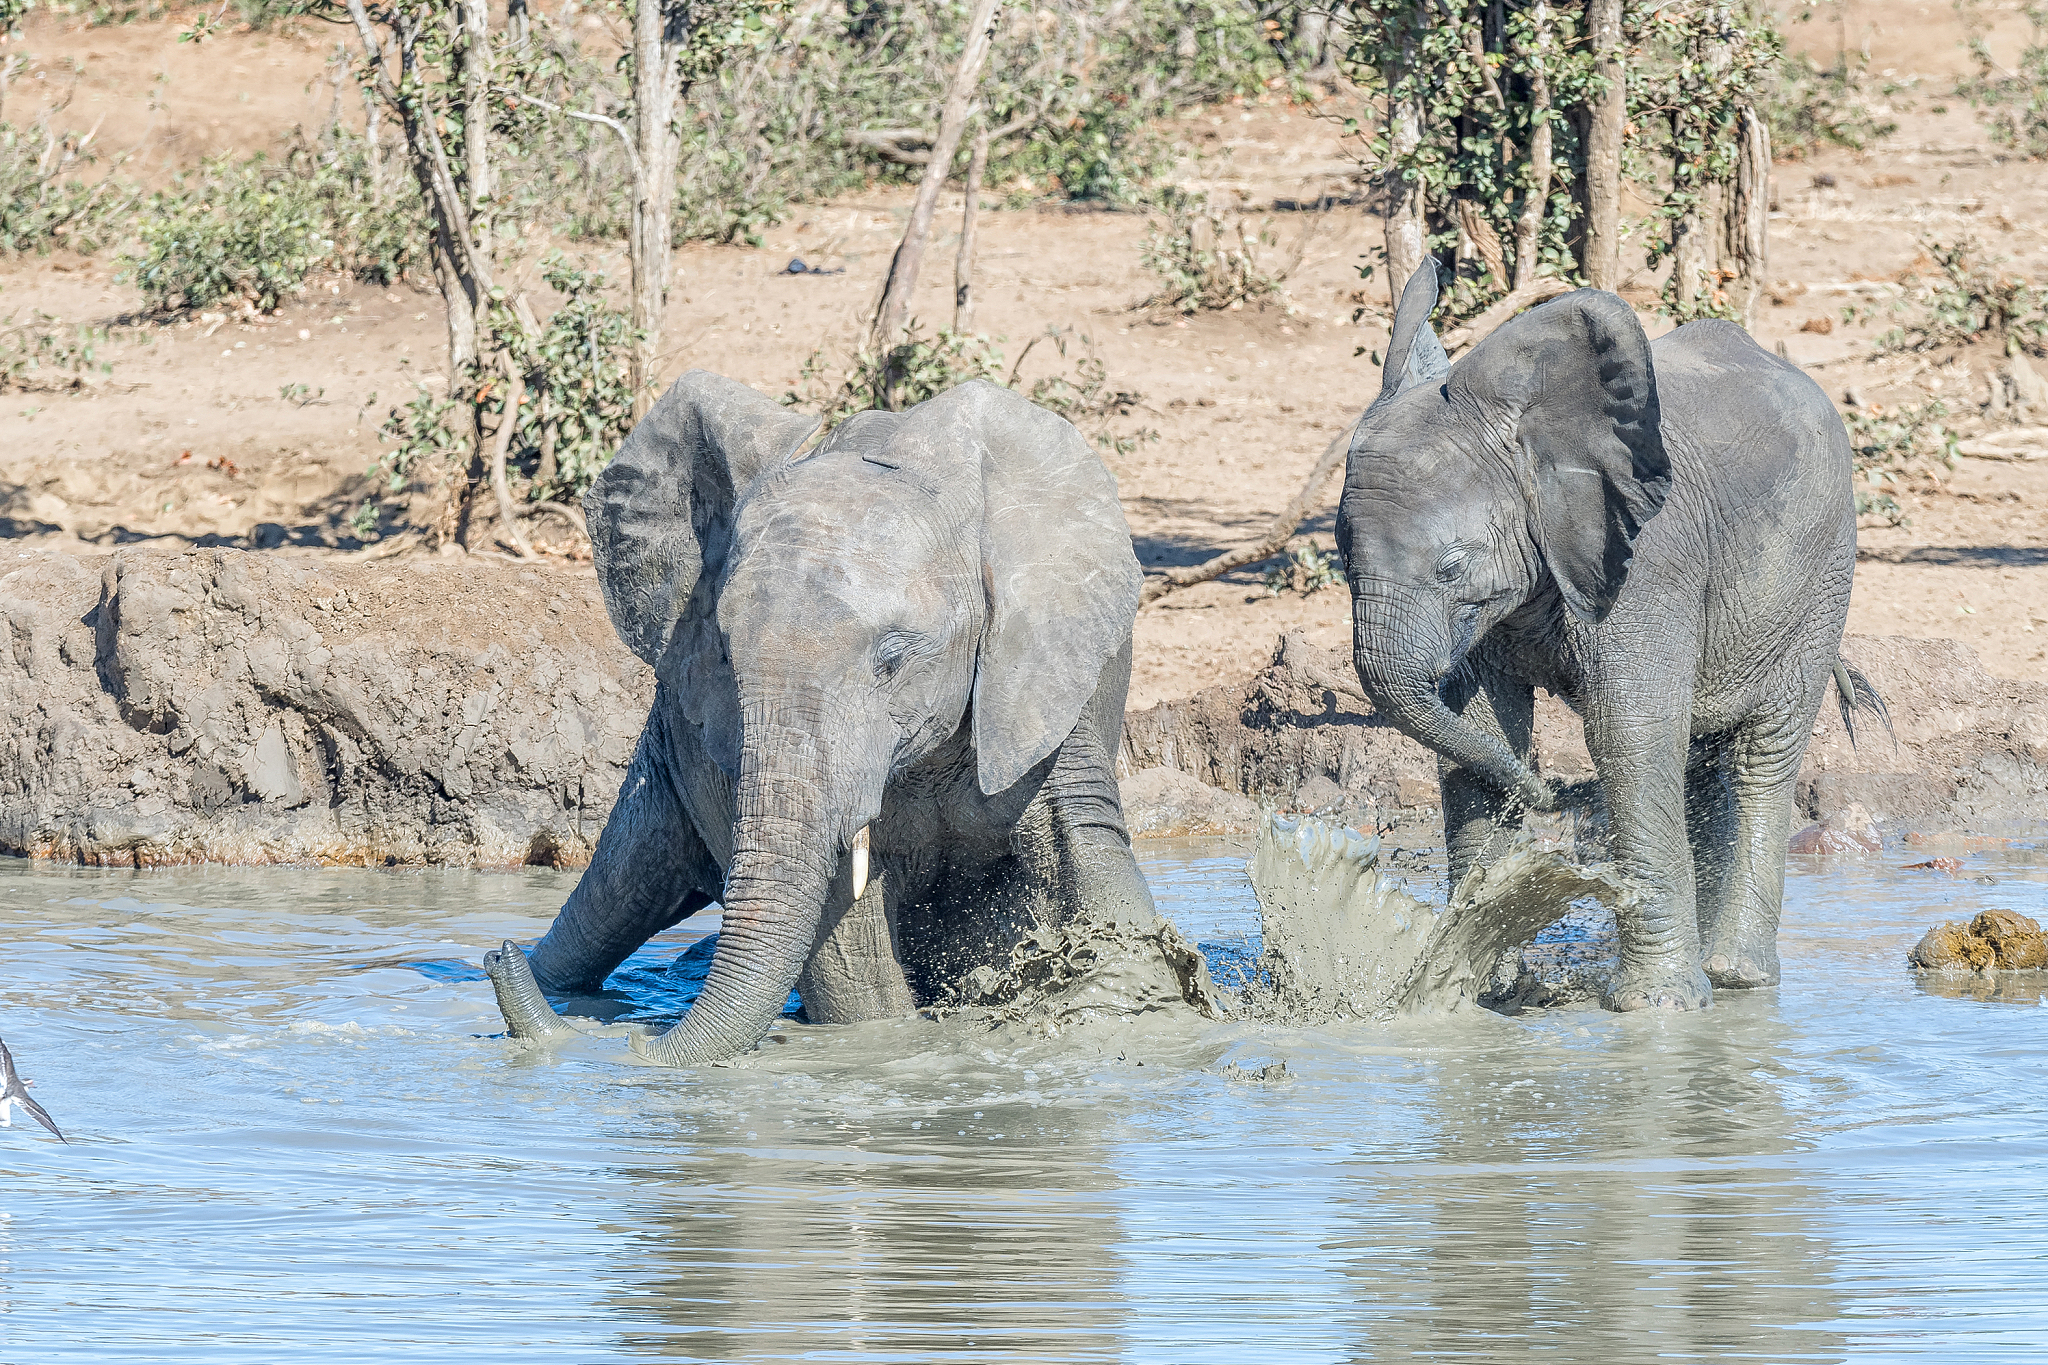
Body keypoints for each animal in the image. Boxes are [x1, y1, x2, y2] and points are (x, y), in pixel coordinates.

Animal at [477, 374, 1171, 1064]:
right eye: (724, 653)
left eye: (893, 661)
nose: (495, 953)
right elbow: (844, 934)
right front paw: (889, 1041)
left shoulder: (1041, 672)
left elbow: (1078, 842)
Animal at [1327, 263, 1884, 1015]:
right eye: (1342, 560)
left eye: (1450, 567)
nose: (1546, 795)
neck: (1534, 437)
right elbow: (1483, 729)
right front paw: (1484, 992)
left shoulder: (1648, 559)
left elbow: (1630, 729)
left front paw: (1660, 1010)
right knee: (1705, 762)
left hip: (1819, 576)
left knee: (1762, 753)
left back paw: (1735, 977)